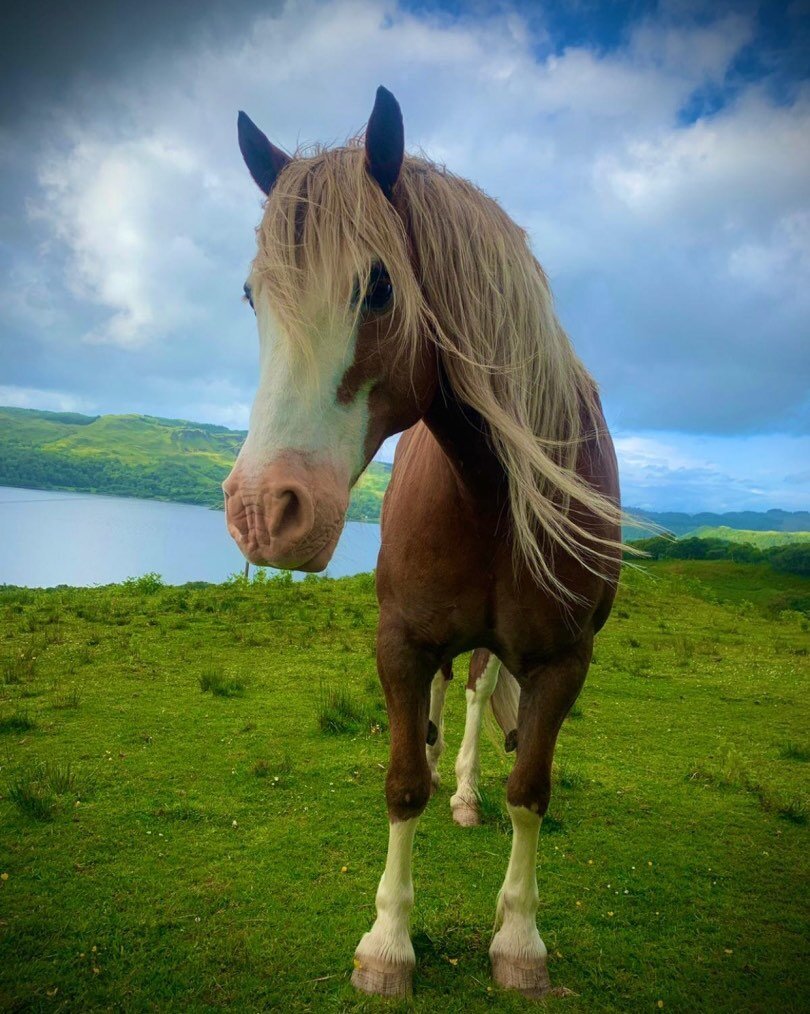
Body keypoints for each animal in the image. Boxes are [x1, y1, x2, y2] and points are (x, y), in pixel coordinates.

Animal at [225, 85, 624, 997]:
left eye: (378, 288)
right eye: (252, 297)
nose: (264, 509)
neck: (489, 489)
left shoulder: (564, 661)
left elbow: (531, 789)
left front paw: (519, 941)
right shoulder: (401, 642)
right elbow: (403, 783)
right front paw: (386, 944)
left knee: (479, 695)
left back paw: (469, 789)